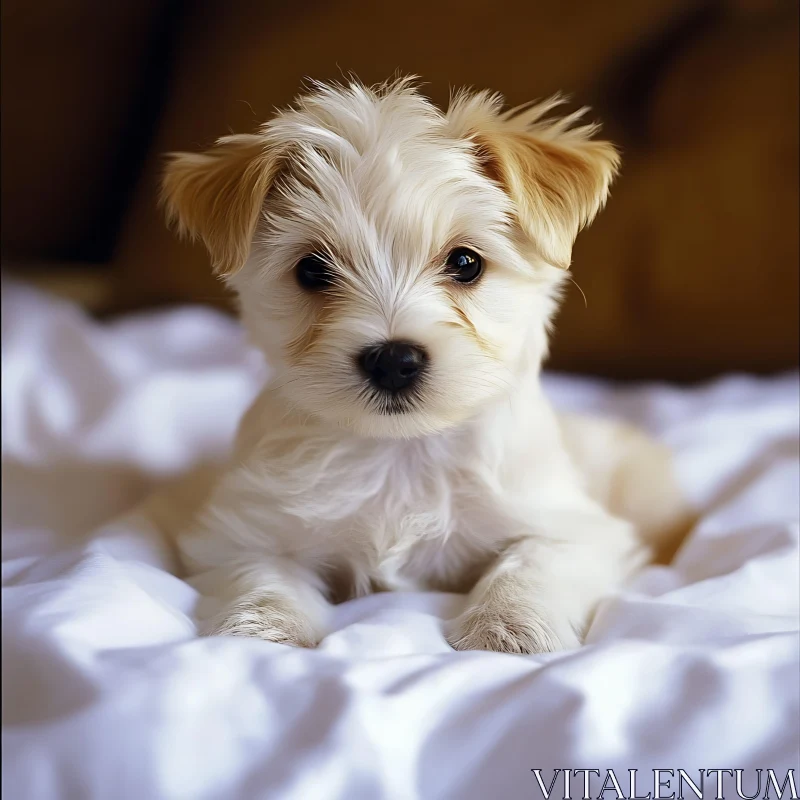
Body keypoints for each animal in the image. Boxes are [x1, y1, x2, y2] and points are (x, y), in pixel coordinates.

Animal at [159, 78, 692, 652]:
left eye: (465, 263)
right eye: (312, 270)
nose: (393, 360)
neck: (401, 454)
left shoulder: (573, 527)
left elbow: (530, 563)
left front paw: (509, 626)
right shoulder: (241, 529)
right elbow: (263, 572)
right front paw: (262, 626)